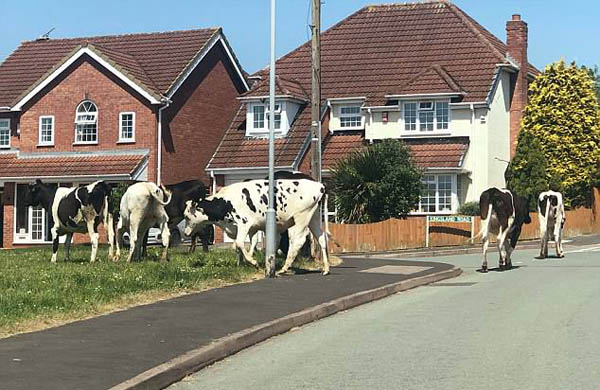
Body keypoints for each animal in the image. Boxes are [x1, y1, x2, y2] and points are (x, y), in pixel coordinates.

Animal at [184, 178, 330, 276]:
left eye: (186, 216)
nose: (185, 233)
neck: (226, 202)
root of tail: (320, 185)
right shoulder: (250, 228)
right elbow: (240, 246)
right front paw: (241, 264)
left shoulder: (244, 224)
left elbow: (239, 243)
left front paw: (253, 263)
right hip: (314, 217)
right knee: (321, 238)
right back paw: (326, 268)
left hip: (301, 217)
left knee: (297, 240)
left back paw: (284, 268)